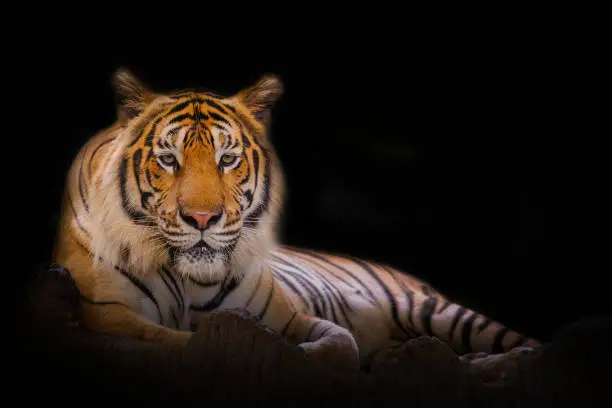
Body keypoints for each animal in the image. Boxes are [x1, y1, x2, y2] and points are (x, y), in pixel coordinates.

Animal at [52, 68, 540, 372]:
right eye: (168, 159)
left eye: (227, 159)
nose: (202, 218)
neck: (189, 281)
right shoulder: (111, 316)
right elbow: (184, 342)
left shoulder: (287, 315)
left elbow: (338, 343)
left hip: (433, 310)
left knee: (525, 346)